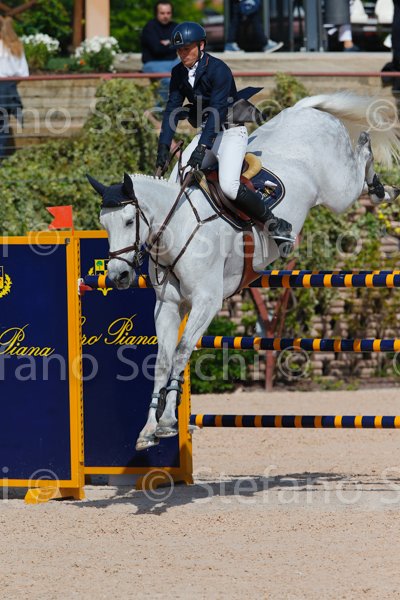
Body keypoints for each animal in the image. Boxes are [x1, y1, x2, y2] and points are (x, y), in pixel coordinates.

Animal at [87, 92, 400, 451]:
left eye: (128, 221)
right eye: (104, 225)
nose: (117, 277)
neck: (178, 227)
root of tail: (304, 110)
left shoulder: (207, 302)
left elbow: (181, 352)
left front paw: (167, 423)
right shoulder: (167, 305)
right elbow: (163, 361)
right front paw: (149, 430)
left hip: (337, 191)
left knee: (360, 162)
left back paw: (379, 182)